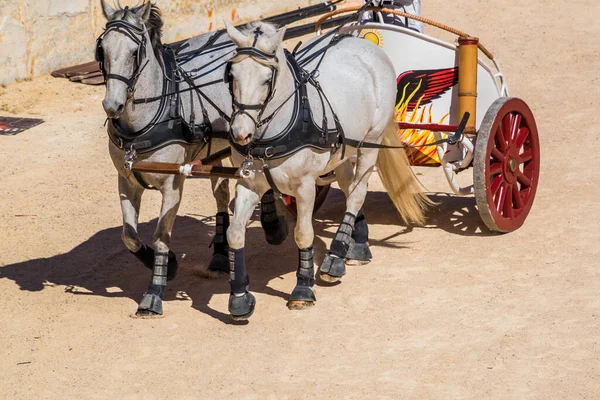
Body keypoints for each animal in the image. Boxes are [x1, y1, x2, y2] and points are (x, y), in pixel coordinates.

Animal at [223, 21, 428, 320]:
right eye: (231, 75)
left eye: (266, 79)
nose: (241, 133)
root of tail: (362, 43)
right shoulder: (248, 184)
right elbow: (235, 233)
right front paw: (239, 297)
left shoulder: (305, 186)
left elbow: (303, 234)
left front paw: (303, 289)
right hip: (342, 149)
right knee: (348, 186)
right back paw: (356, 243)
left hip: (371, 142)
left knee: (357, 192)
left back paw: (335, 258)